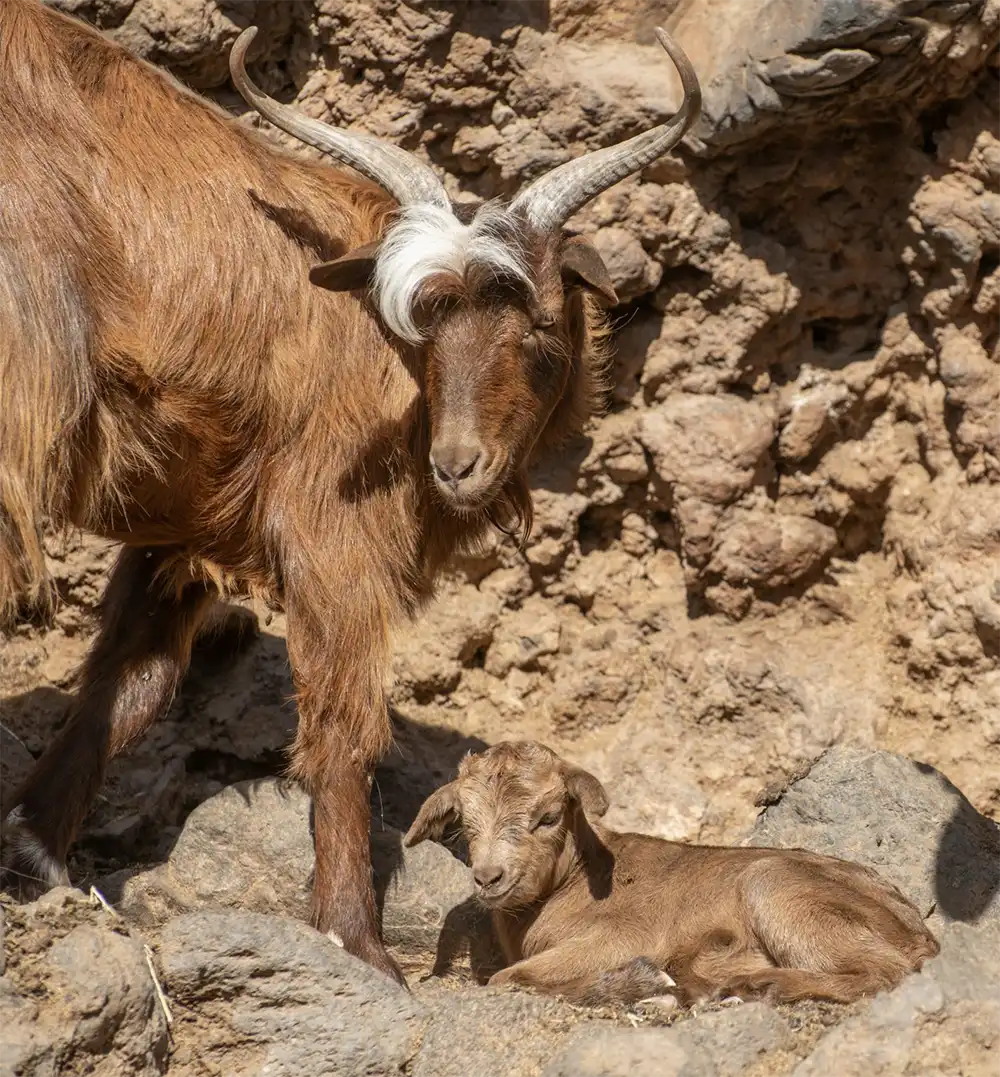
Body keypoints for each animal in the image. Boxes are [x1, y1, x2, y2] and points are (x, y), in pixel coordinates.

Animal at [0, 1, 701, 983]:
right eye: (425, 326)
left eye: (537, 325)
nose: (458, 465)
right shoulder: (330, 530)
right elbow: (343, 729)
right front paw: (356, 940)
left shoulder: (184, 527)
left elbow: (129, 680)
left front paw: (35, 852)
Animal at [405, 741, 940, 1006]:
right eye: (464, 823)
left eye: (549, 816)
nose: (488, 877)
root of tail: (919, 934)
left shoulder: (622, 936)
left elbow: (507, 979)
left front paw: (643, 985)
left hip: (777, 888)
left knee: (886, 973)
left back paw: (761, 986)